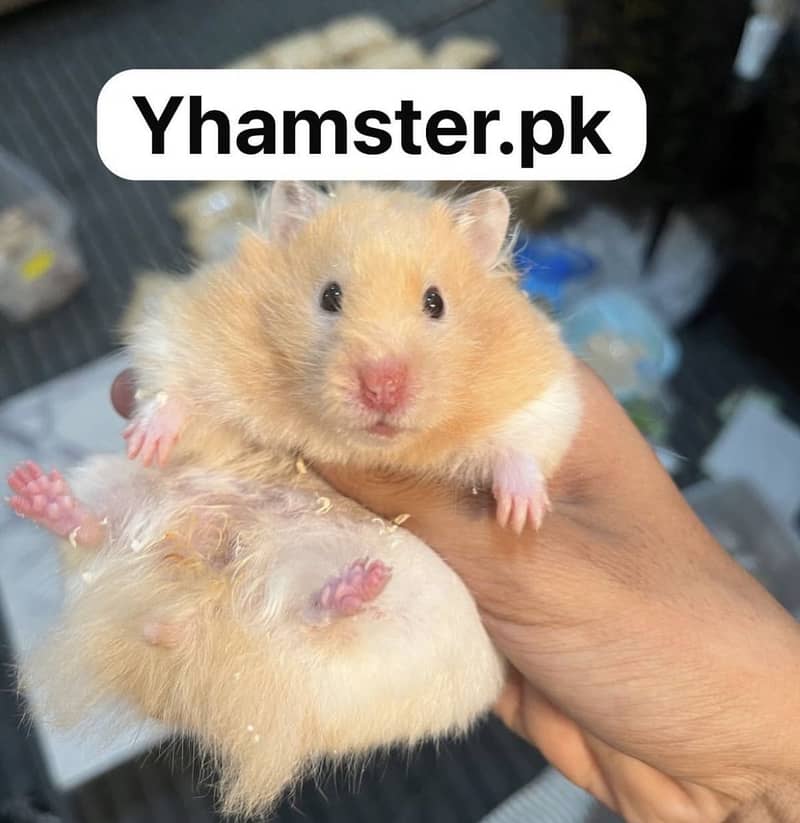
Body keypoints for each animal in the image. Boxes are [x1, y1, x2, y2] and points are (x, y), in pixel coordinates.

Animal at [125, 181, 581, 533]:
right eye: (330, 296)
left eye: (435, 302)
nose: (382, 389)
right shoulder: (185, 332)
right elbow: (172, 387)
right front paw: (142, 447)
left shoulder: (541, 389)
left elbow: (524, 444)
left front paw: (521, 518)